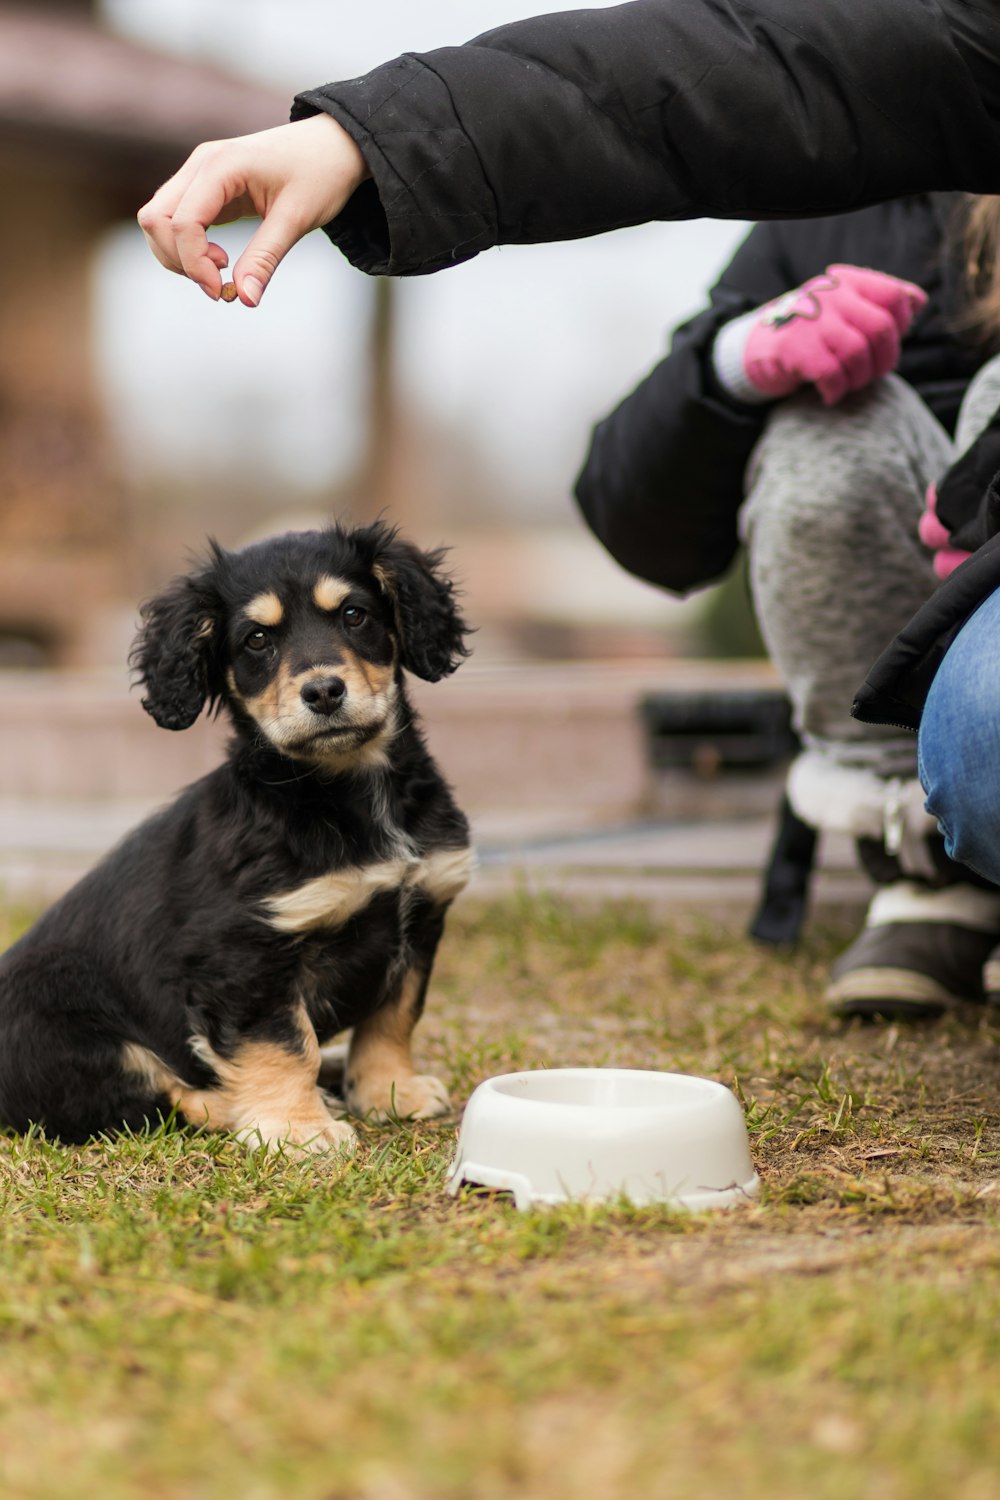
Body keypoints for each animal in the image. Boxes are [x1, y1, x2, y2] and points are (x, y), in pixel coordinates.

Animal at [0, 522, 476, 1152]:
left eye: (354, 615)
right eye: (256, 640)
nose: (324, 692)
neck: (348, 791)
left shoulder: (421, 916)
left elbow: (393, 1017)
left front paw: (387, 1091)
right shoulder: (245, 952)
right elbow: (283, 1043)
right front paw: (299, 1131)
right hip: (70, 1040)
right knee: (153, 1100)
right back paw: (248, 1106)